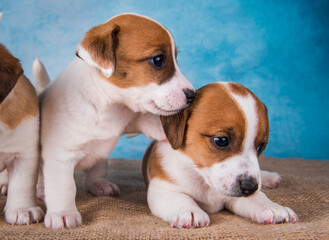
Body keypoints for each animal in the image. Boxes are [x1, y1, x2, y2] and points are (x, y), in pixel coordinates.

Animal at [33, 14, 193, 230]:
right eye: (158, 60)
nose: (192, 95)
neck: (107, 105)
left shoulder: (130, 115)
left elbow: (145, 116)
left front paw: (164, 129)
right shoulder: (60, 156)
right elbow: (64, 187)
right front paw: (63, 213)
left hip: (100, 159)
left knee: (94, 174)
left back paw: (100, 185)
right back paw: (39, 191)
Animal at [142, 81, 298, 228]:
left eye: (260, 146)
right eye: (221, 141)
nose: (250, 186)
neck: (202, 179)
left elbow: (257, 198)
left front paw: (271, 207)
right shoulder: (162, 189)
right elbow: (181, 198)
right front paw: (190, 211)